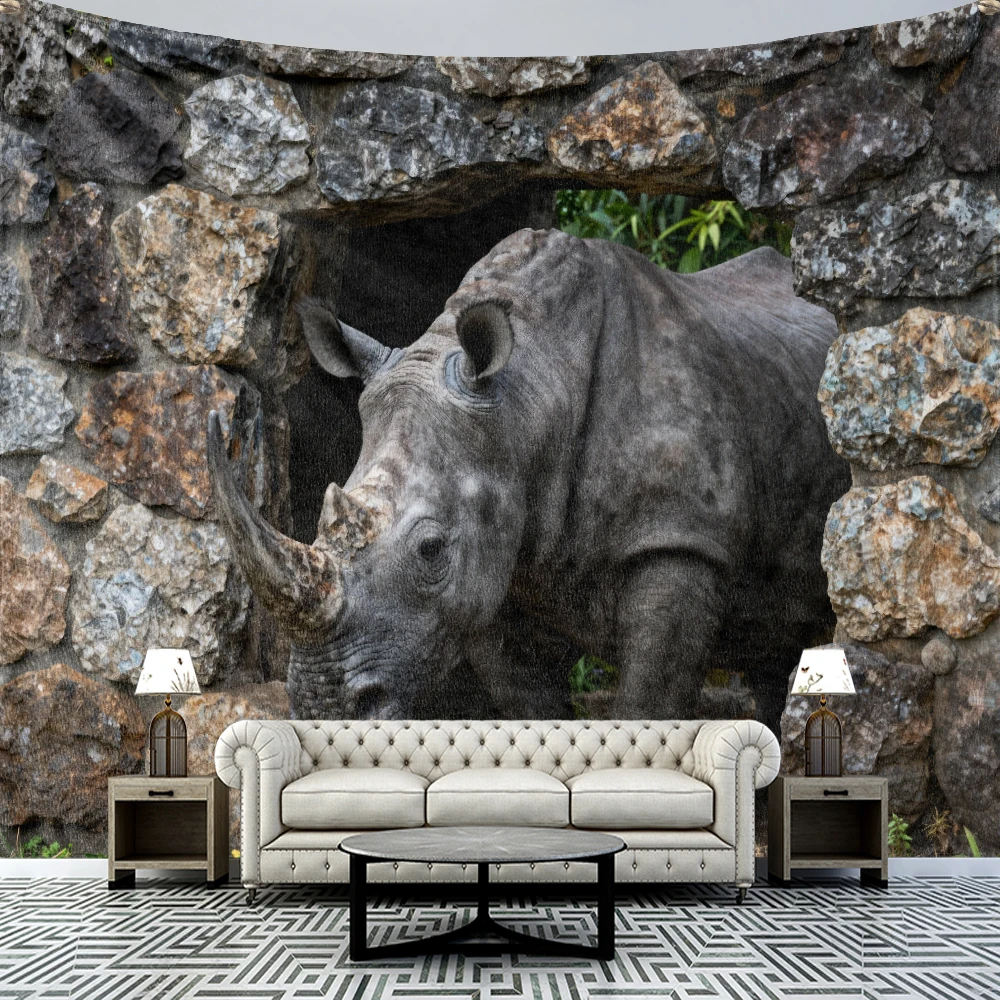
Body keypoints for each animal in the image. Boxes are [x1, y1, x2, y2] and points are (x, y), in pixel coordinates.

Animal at [207, 227, 849, 726]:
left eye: (431, 549)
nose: (325, 709)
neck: (529, 397)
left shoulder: (680, 538)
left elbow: (649, 705)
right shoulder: (495, 569)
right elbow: (530, 709)